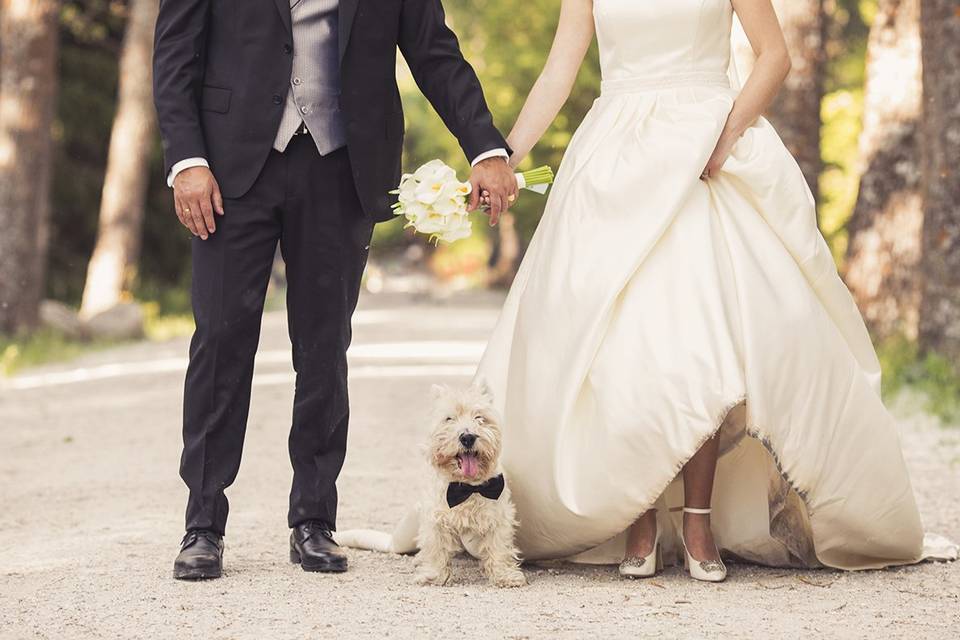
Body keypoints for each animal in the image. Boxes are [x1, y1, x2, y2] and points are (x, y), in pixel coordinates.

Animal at [414, 382, 528, 588]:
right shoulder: (435, 518)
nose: (467, 437)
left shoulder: (498, 517)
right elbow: (436, 548)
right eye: (449, 418)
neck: (467, 487)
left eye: (479, 417)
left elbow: (499, 548)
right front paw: (433, 575)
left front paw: (505, 575)